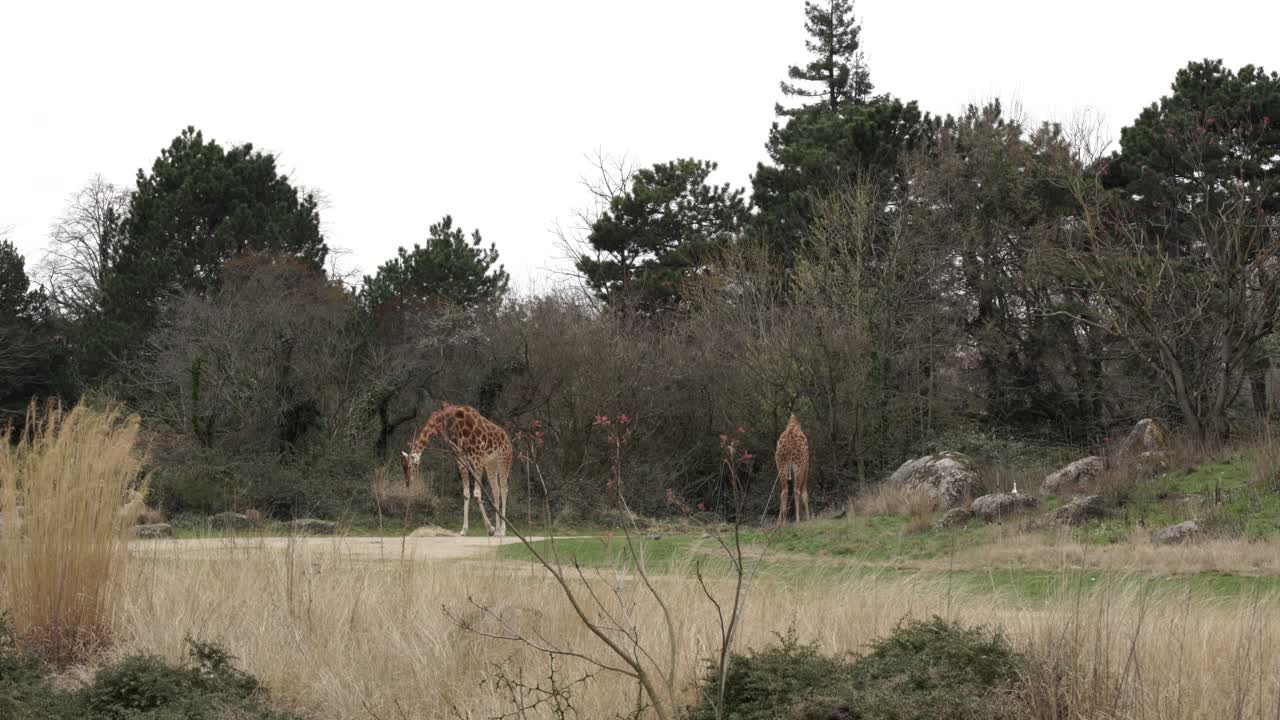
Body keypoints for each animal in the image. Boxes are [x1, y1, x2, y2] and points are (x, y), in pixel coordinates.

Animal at [402, 402, 512, 537]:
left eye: (411, 467)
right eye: (403, 468)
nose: (408, 483)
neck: (450, 422)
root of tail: (508, 440)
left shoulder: (478, 459)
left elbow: (476, 494)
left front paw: (489, 528)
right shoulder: (461, 460)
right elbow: (466, 494)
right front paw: (464, 529)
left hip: (504, 460)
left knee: (504, 489)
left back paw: (502, 530)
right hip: (491, 463)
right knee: (496, 490)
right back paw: (497, 530)